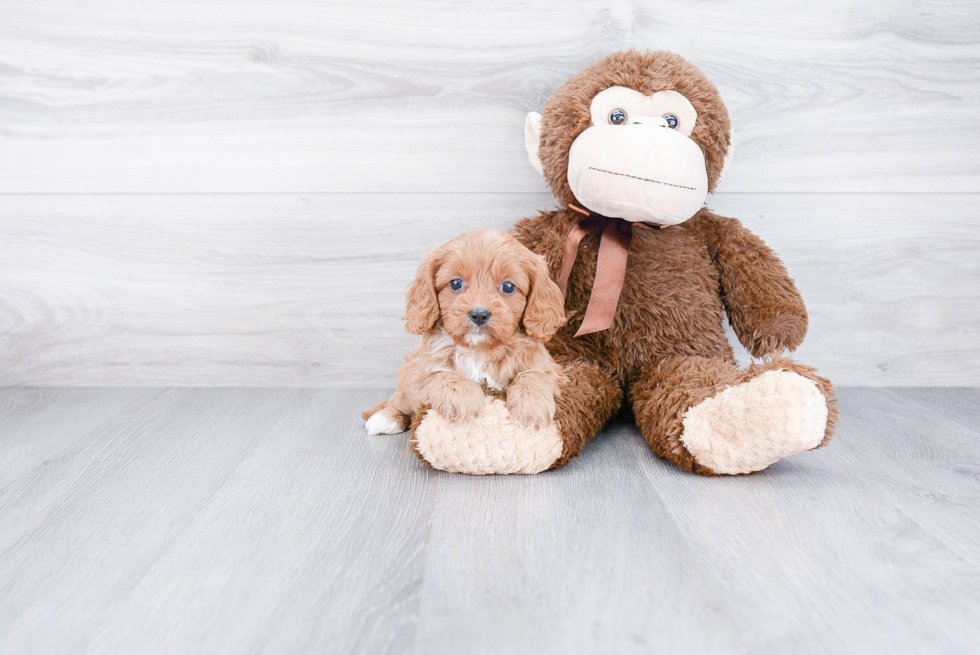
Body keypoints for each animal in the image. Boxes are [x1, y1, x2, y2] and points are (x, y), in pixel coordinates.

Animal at [364, 229, 568, 436]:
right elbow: (439, 375)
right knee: (399, 401)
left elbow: (534, 375)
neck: (479, 350)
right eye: (456, 283)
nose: (479, 314)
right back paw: (387, 417)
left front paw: (531, 405)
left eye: (508, 286)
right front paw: (462, 399)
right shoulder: (418, 369)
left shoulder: (550, 367)